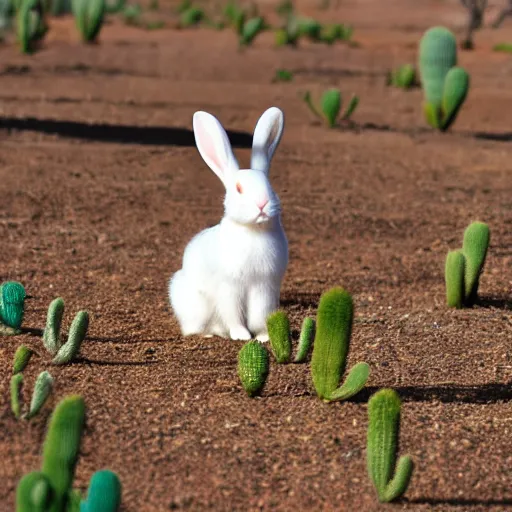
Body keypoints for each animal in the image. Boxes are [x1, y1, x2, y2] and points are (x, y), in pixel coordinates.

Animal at [168, 106, 288, 342]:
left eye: (269, 186)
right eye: (239, 189)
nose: (262, 204)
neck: (253, 231)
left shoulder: (264, 287)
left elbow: (259, 316)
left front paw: (262, 337)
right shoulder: (229, 287)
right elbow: (233, 315)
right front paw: (241, 336)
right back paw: (209, 334)